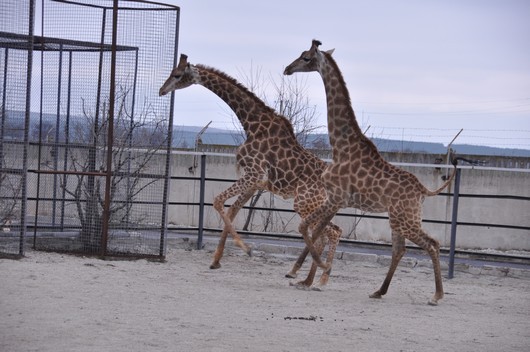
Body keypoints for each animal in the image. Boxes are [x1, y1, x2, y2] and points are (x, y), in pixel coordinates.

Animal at [159, 53, 342, 288]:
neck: (251, 122)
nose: (162, 90)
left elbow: (218, 201)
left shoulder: (253, 174)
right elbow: (231, 211)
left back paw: (318, 277)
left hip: (304, 203)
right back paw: (309, 279)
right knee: (329, 233)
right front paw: (216, 261)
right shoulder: (255, 181)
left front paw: (246, 249)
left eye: (178, 74)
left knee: (331, 233)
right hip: (314, 205)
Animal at [284, 40, 458, 306]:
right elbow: (316, 231)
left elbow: (307, 228)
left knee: (432, 244)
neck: (340, 146)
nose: (287, 69)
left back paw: (436, 296)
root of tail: (423, 190)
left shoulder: (336, 197)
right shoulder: (336, 200)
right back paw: (379, 291)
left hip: (405, 219)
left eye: (305, 57)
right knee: (400, 249)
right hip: (400, 218)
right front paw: (307, 279)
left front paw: (304, 273)